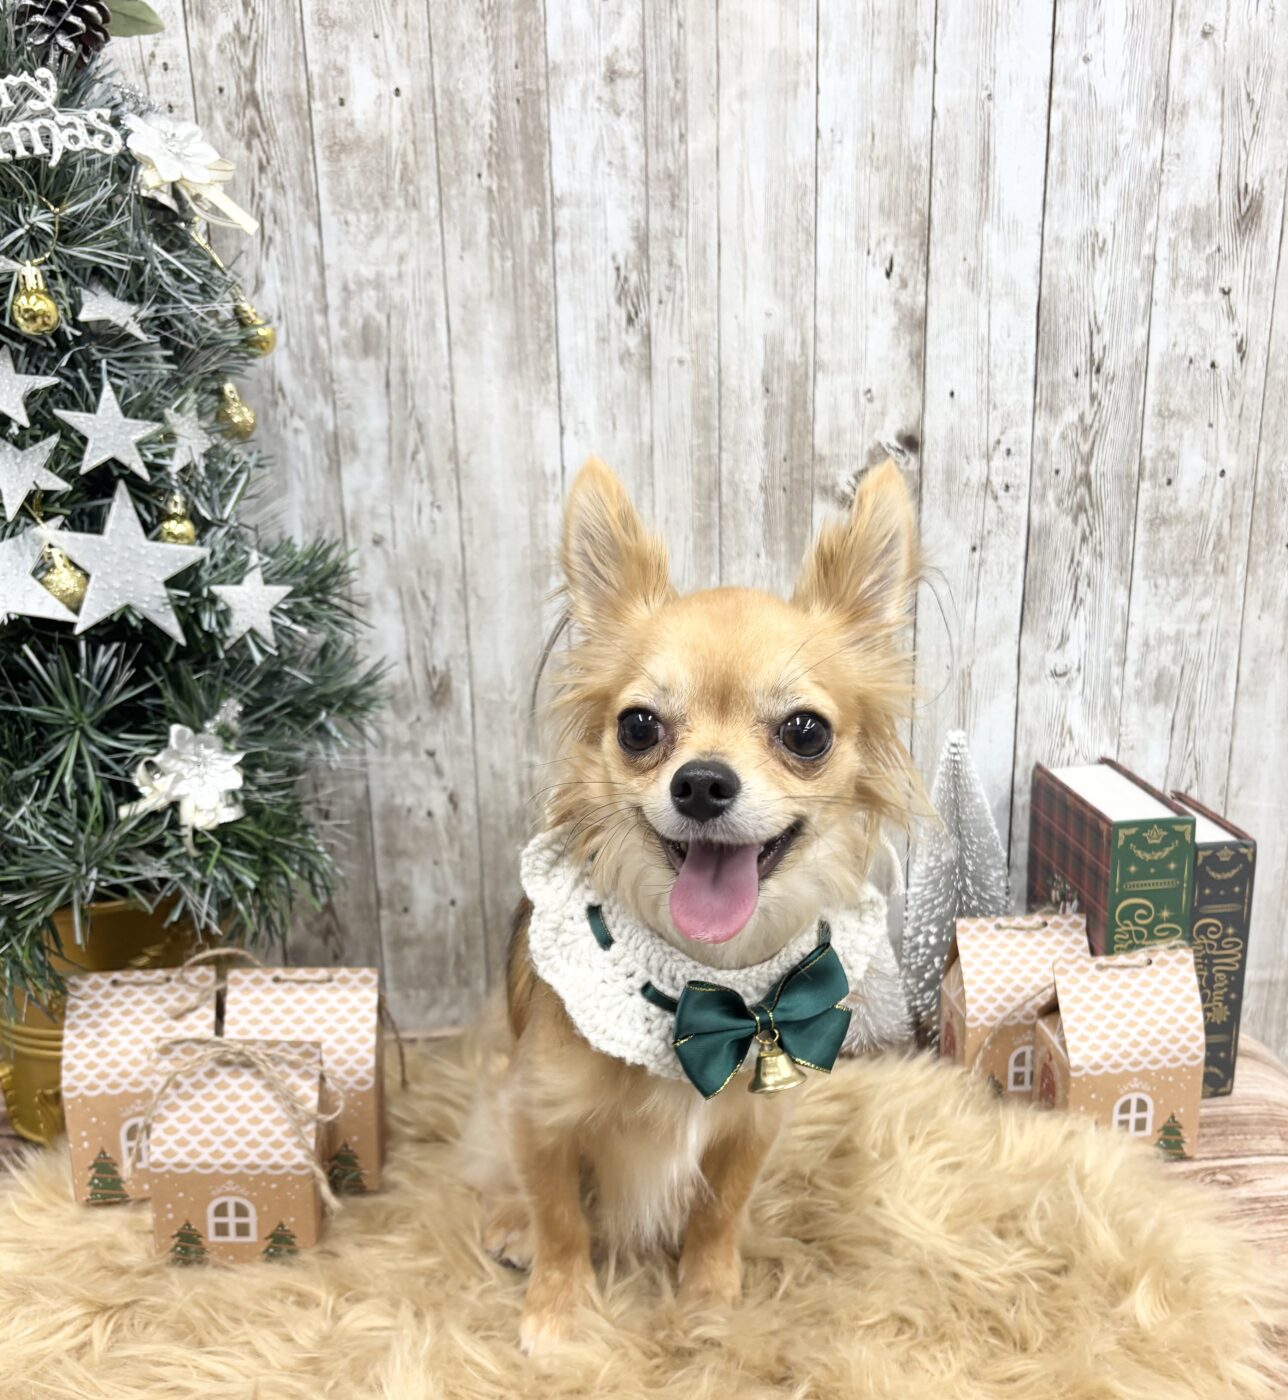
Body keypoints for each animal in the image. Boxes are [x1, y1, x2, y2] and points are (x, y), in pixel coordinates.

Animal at [473, 457, 922, 1354]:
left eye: (805, 732)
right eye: (640, 728)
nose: (703, 782)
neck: (704, 984)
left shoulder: (753, 1124)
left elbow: (721, 1212)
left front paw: (709, 1303)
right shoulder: (539, 1111)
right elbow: (560, 1217)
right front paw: (559, 1313)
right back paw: (509, 1224)